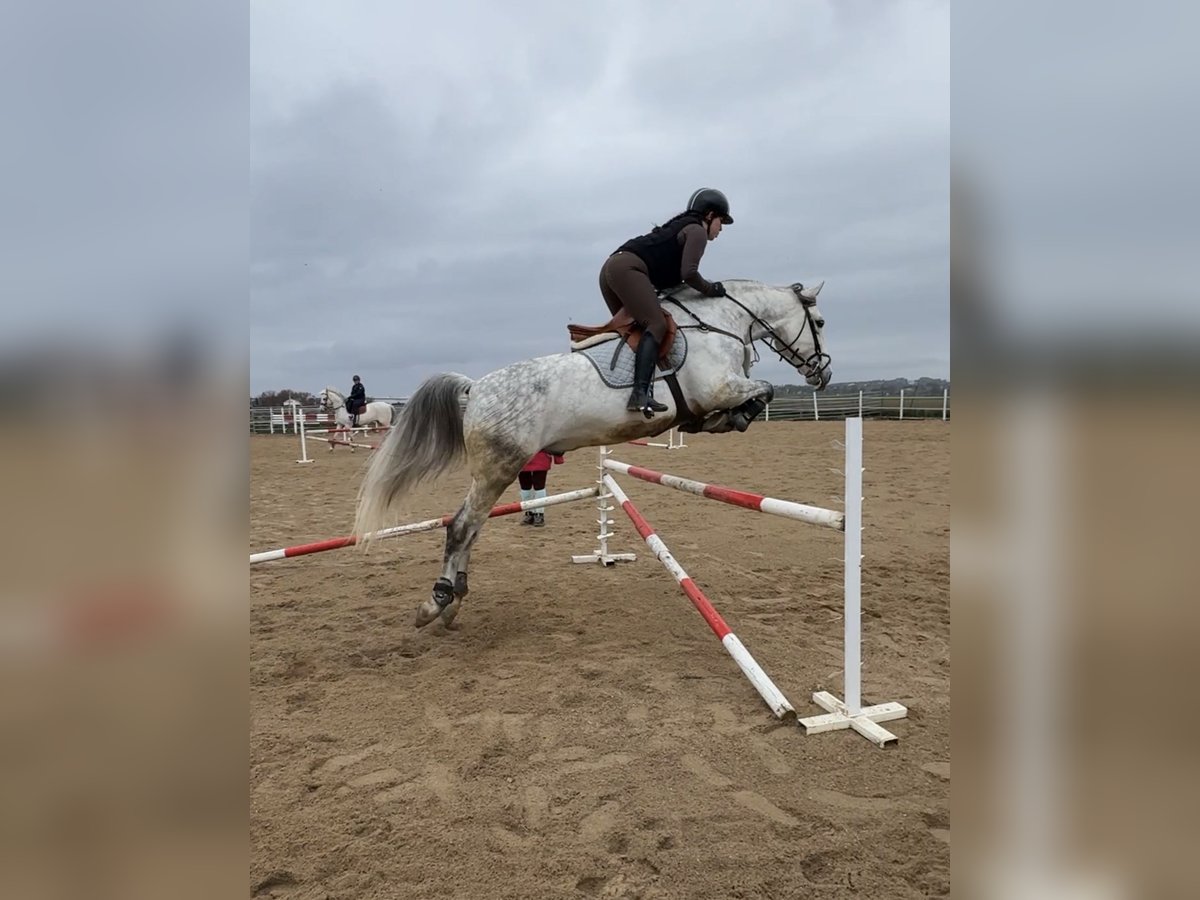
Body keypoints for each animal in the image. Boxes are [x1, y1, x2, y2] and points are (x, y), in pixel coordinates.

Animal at [350, 280, 830, 628]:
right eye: (821, 322)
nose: (822, 374)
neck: (718, 324)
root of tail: (475, 387)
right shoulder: (721, 387)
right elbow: (761, 391)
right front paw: (729, 418)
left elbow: (756, 394)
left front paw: (717, 421)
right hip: (497, 470)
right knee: (461, 526)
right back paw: (438, 603)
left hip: (493, 473)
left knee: (470, 529)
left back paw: (454, 601)